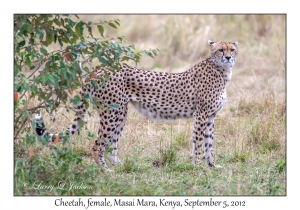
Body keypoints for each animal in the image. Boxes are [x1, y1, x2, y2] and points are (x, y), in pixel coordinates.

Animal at [34, 40, 238, 171]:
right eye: (221, 50)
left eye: (232, 49)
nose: (228, 57)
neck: (222, 71)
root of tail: (98, 70)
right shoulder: (201, 115)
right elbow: (198, 141)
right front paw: (196, 166)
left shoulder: (210, 116)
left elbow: (209, 143)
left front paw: (211, 165)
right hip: (111, 114)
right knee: (97, 145)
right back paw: (105, 171)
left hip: (120, 114)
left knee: (111, 145)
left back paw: (120, 167)